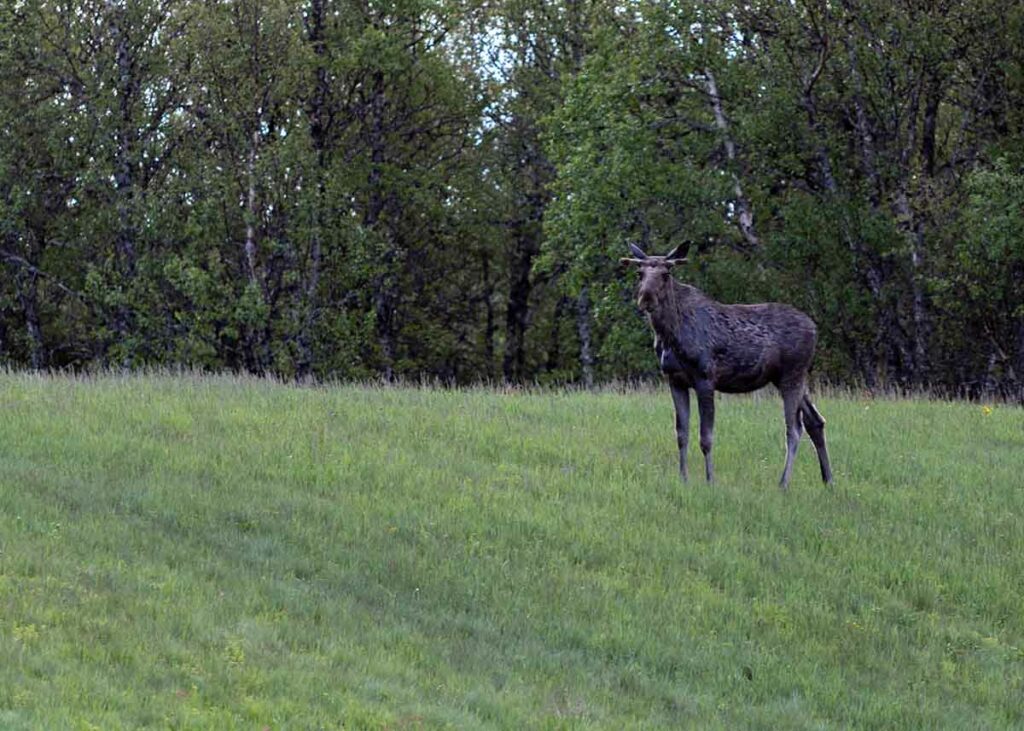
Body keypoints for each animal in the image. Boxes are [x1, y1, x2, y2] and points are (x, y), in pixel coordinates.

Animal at [622, 241, 831, 487]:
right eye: (640, 273)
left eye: (666, 274)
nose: (646, 298)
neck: (668, 335)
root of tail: (815, 329)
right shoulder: (675, 381)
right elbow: (681, 435)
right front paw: (683, 478)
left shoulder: (705, 378)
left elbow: (706, 437)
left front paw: (710, 480)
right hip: (786, 378)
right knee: (815, 421)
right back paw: (828, 480)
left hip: (792, 375)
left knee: (795, 429)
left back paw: (783, 484)